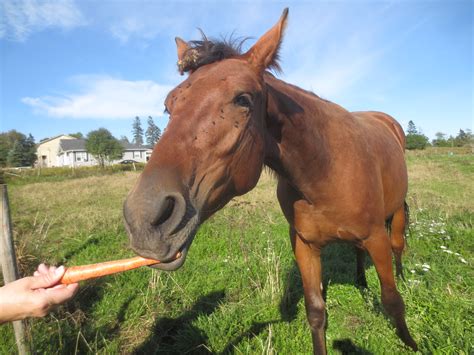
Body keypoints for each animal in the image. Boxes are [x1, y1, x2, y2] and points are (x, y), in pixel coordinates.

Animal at [123, 9, 418, 355]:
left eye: (243, 99)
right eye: (169, 105)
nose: (144, 219)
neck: (324, 171)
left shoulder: (376, 238)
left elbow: (392, 300)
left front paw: (411, 343)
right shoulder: (304, 245)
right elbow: (316, 312)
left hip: (394, 215)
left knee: (399, 246)